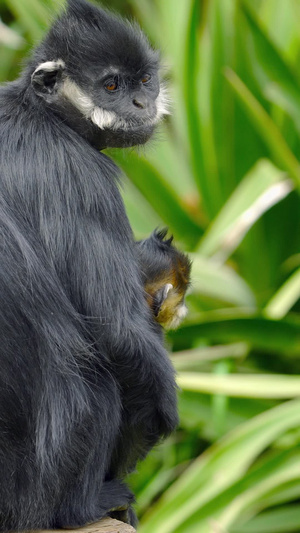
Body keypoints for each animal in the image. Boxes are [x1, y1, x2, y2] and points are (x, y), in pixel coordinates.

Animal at [0, 0, 178, 528]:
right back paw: (86, 506)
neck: (39, 112)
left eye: (144, 82)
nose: (140, 105)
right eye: (111, 87)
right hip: (39, 486)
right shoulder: (81, 177)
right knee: (99, 381)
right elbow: (120, 332)